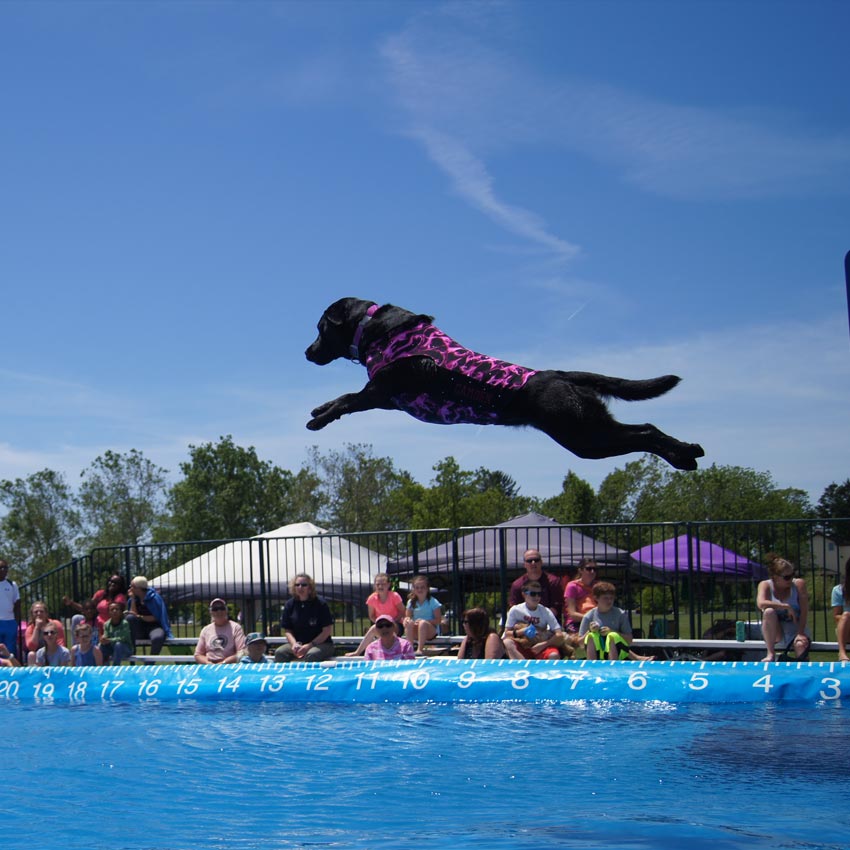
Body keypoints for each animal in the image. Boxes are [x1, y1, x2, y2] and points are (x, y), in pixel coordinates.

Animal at [304, 296, 704, 470]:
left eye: (321, 328)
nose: (307, 351)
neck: (375, 327)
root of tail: (561, 374)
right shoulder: (388, 399)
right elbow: (344, 399)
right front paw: (320, 410)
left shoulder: (381, 390)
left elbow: (346, 398)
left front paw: (319, 418)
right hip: (589, 432)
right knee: (643, 431)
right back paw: (685, 455)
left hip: (584, 435)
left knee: (645, 431)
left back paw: (685, 452)